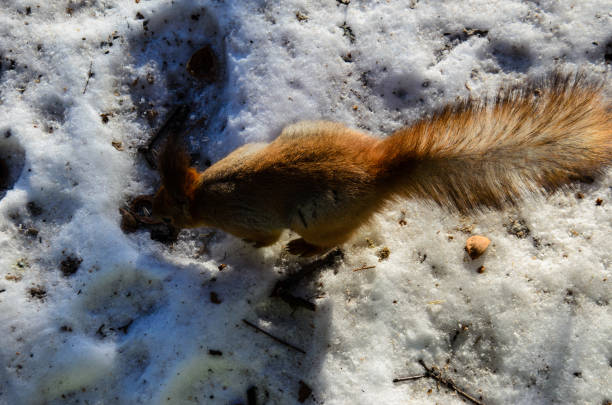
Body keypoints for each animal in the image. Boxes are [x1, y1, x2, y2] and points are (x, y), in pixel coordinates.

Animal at [151, 73, 612, 256]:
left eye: (169, 211)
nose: (146, 213)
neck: (203, 193)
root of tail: (378, 171)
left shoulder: (246, 216)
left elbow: (264, 238)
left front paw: (251, 248)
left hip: (320, 215)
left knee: (333, 240)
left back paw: (303, 249)